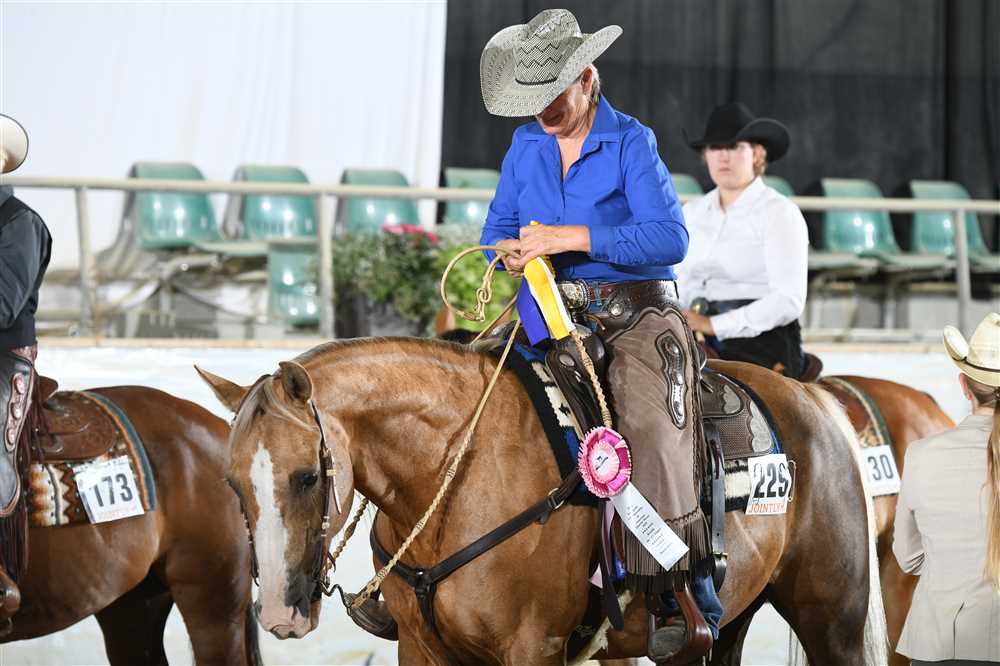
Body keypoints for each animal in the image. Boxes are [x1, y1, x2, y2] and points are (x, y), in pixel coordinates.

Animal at [198, 337, 888, 665]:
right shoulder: (421, 649)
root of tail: (814, 400)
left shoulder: (532, 649)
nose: (280, 613)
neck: (458, 475)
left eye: (305, 477)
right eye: (231, 483)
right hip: (724, 626)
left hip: (834, 622)